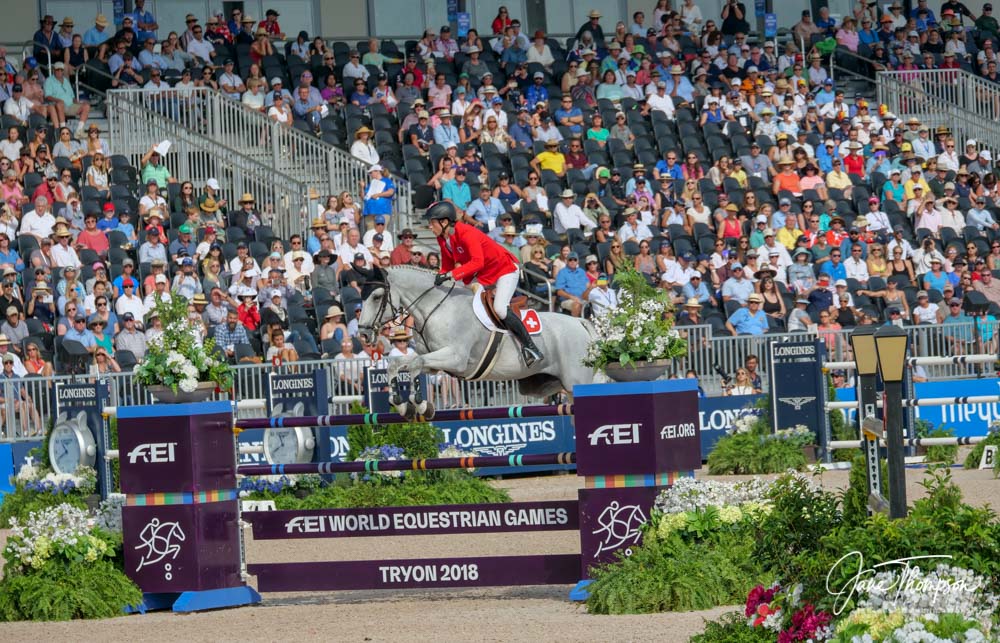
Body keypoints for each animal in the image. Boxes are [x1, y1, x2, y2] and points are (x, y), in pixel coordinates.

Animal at [358, 266, 596, 418]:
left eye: (376, 297)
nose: (363, 335)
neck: (437, 308)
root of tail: (579, 322)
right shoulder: (433, 362)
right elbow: (398, 364)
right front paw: (400, 404)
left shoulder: (456, 359)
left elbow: (415, 364)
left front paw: (421, 404)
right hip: (553, 385)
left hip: (576, 382)